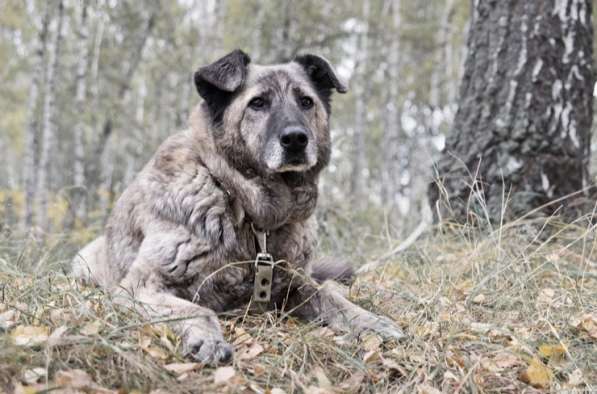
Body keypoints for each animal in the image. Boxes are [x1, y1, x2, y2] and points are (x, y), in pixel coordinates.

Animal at [72, 50, 402, 364]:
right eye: (257, 103)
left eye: (306, 101)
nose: (296, 139)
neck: (245, 209)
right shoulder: (141, 285)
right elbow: (197, 310)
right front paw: (208, 340)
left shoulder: (294, 285)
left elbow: (333, 299)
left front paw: (372, 322)